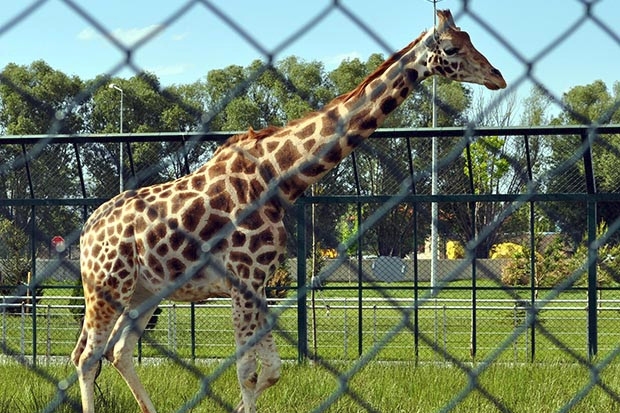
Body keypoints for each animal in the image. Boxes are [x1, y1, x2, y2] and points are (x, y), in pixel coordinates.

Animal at [72, 8, 504, 412]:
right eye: (451, 48)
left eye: (471, 39)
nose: (497, 76)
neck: (279, 178)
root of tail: (88, 229)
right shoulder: (243, 279)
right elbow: (247, 372)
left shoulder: (259, 283)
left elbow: (272, 371)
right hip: (106, 286)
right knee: (87, 356)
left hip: (145, 292)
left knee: (118, 351)